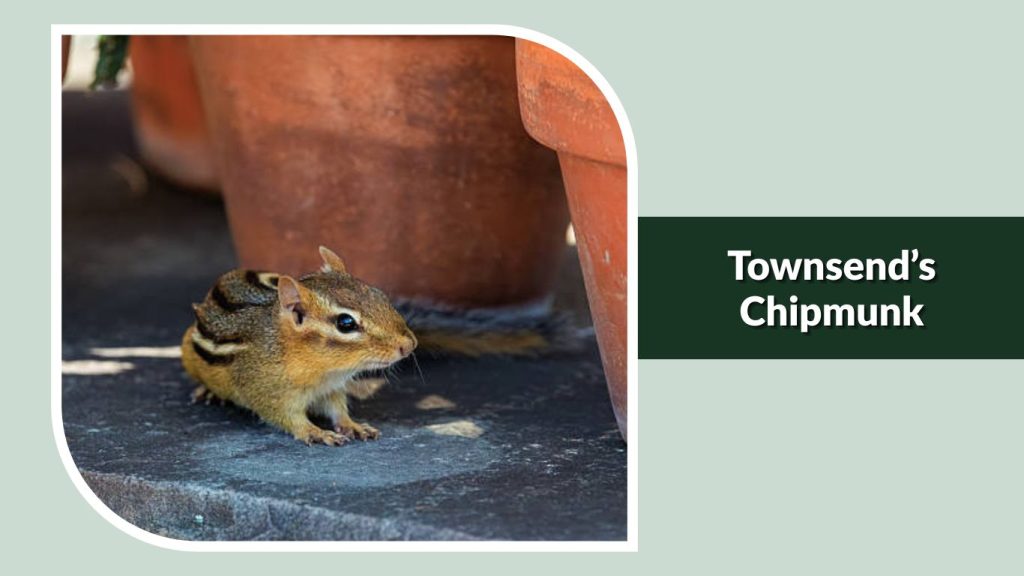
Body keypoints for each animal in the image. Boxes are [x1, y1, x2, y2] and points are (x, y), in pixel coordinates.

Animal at [182, 246, 574, 446]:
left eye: (381, 295)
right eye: (345, 323)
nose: (409, 345)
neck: (320, 370)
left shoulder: (333, 388)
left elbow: (338, 408)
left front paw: (352, 424)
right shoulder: (267, 390)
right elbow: (286, 418)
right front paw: (314, 431)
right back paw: (208, 391)